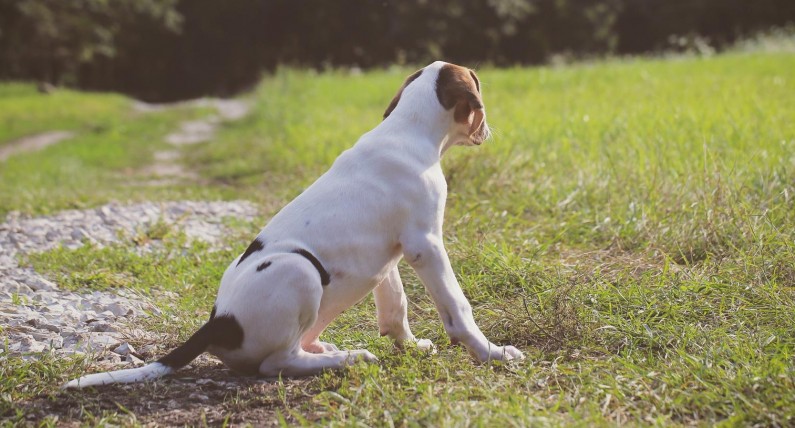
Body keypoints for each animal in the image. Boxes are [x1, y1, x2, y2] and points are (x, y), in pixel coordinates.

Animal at [65, 61, 524, 390]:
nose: (487, 130)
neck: (409, 132)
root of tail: (216, 323)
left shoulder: (390, 254)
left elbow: (396, 307)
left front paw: (410, 347)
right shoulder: (424, 245)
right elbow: (457, 308)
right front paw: (491, 353)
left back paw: (325, 349)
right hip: (298, 268)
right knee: (275, 363)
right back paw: (347, 359)